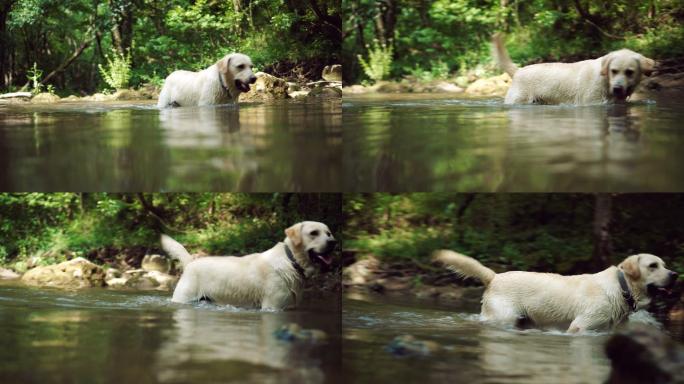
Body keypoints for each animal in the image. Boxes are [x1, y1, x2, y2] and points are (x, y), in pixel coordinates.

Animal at [164, 220, 340, 310]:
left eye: (328, 233)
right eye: (314, 233)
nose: (333, 242)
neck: (291, 261)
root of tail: (191, 261)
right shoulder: (272, 306)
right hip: (184, 297)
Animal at [436, 250, 676, 332]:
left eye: (664, 265)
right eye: (653, 266)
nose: (675, 275)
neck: (621, 287)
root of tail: (494, 276)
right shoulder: (580, 326)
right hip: (502, 317)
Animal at [494, 33, 656, 104]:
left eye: (629, 72)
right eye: (614, 71)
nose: (617, 88)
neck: (605, 80)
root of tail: (518, 70)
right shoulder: (592, 102)